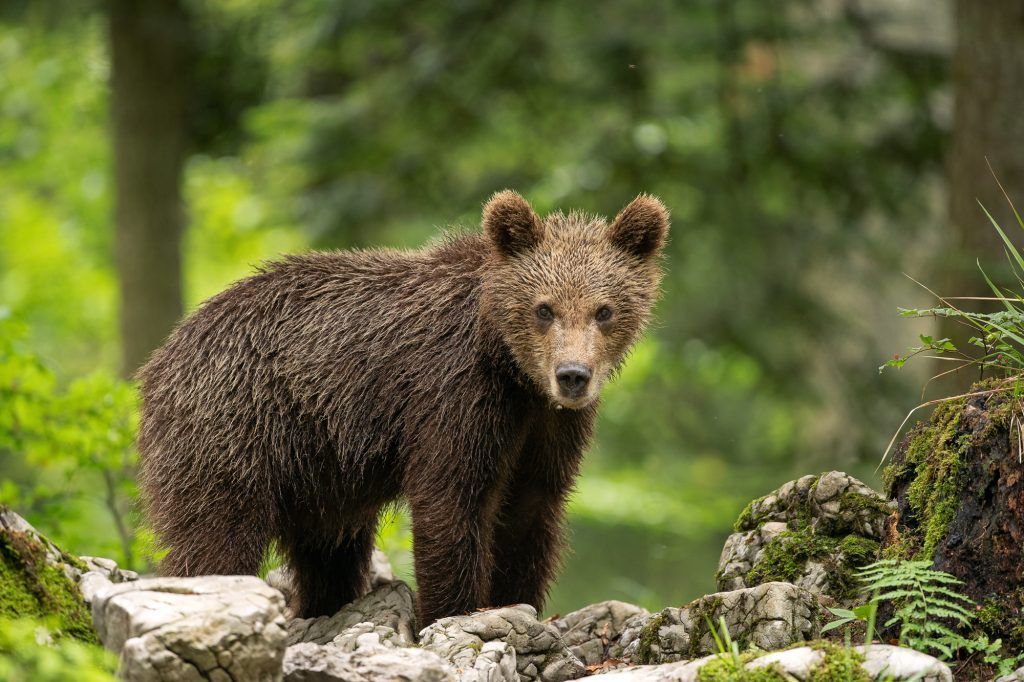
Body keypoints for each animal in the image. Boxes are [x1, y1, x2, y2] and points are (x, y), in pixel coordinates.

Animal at [137, 190, 669, 626]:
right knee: (216, 538)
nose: (572, 375)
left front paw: (518, 601)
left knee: (328, 552)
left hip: (315, 473)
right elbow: (452, 503)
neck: (512, 371)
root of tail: (160, 359)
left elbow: (529, 511)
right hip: (234, 430)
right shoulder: (454, 395)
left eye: (604, 310)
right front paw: (452, 611)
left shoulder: (546, 427)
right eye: (544, 308)